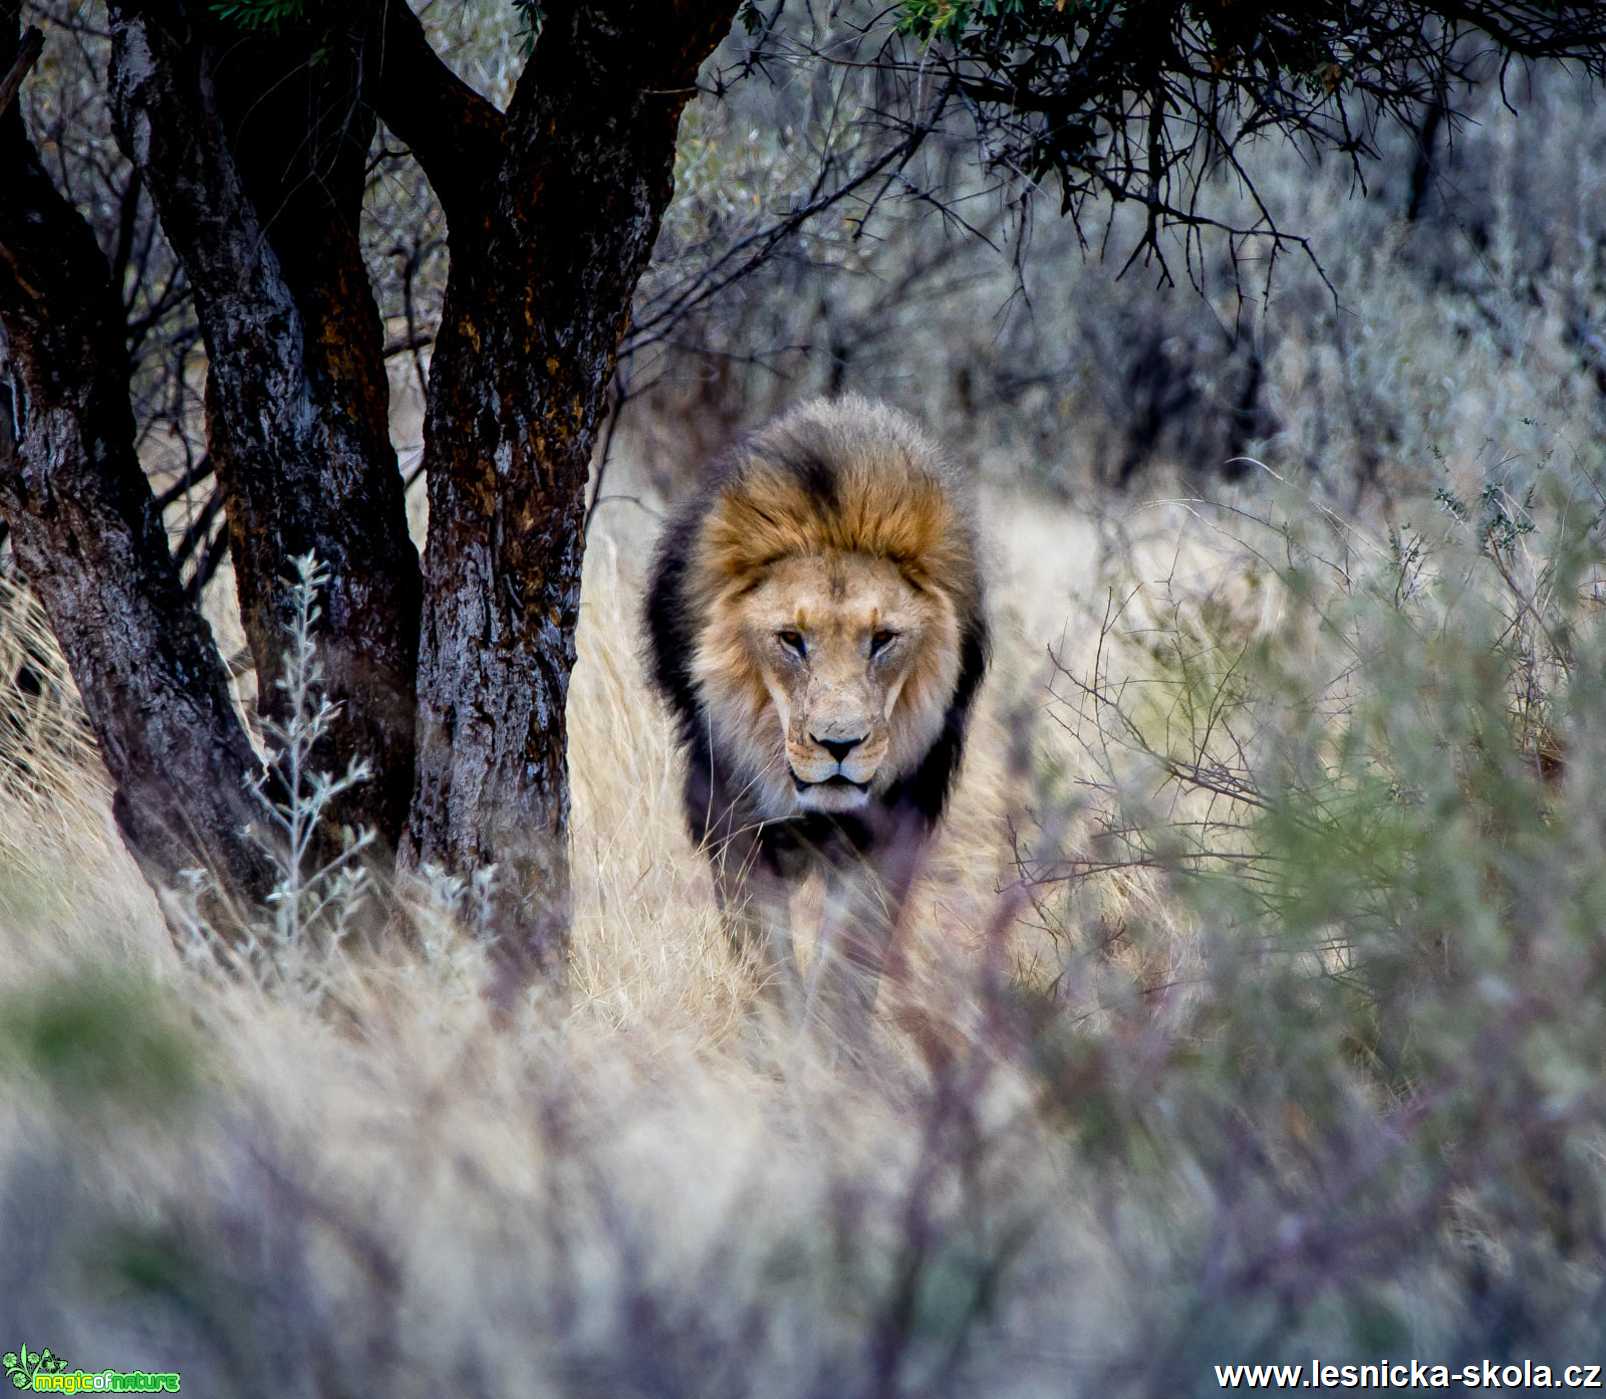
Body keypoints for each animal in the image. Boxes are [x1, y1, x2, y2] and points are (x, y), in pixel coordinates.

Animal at [645, 399, 982, 1034]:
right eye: (791, 639)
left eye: (882, 639)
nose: (839, 746)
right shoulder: (733, 824)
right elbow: (768, 966)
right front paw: (781, 1045)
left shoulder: (887, 830)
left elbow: (845, 971)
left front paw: (829, 1050)